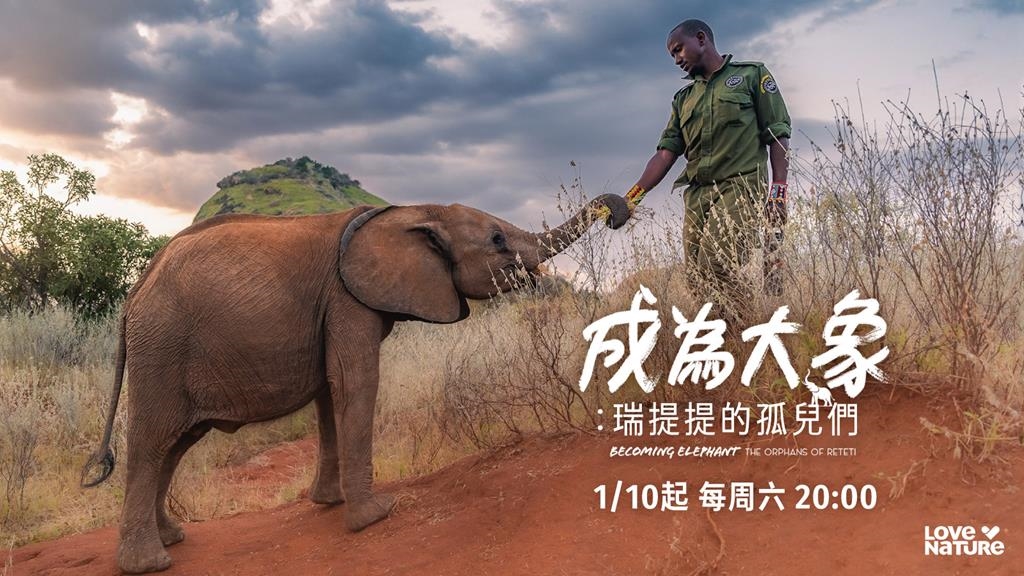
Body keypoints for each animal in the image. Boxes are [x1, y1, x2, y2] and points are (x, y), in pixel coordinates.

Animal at [80, 195, 630, 573]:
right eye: (496, 240)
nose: (618, 213)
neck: (415, 210)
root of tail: (133, 296)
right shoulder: (348, 299)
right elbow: (356, 381)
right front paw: (375, 516)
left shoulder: (334, 309)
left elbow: (331, 391)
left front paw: (329, 503)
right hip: (163, 347)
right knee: (154, 441)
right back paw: (149, 563)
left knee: (175, 445)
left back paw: (172, 538)